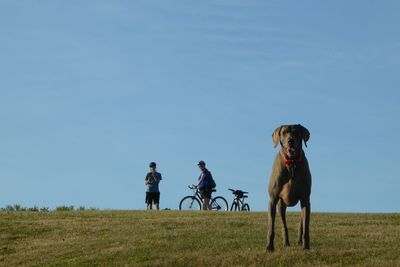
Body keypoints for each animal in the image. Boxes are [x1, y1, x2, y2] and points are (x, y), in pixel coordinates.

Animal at [266, 124, 312, 252]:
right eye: (284, 132)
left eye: (296, 132)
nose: (290, 141)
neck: (292, 163)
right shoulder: (273, 199)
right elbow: (271, 227)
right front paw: (269, 247)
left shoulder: (305, 198)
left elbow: (306, 226)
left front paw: (306, 247)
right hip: (281, 205)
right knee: (283, 223)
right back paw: (286, 242)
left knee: (302, 222)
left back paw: (300, 242)